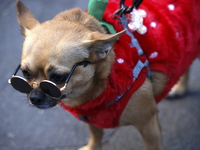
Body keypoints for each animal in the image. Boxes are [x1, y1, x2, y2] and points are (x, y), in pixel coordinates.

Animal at [10, 0, 200, 149]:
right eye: (25, 73)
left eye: (58, 77)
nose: (34, 97)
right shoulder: (91, 118)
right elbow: (96, 136)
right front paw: (92, 147)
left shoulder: (149, 124)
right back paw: (180, 87)